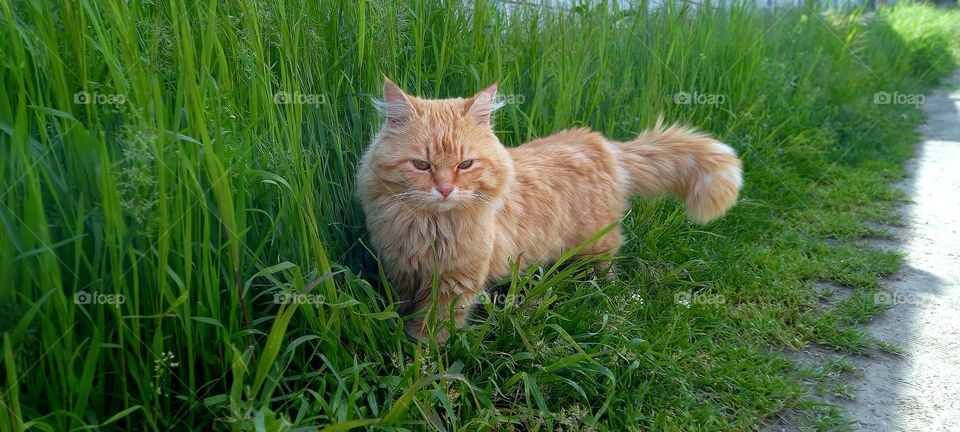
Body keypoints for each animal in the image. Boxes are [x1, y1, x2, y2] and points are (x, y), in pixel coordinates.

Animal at [356, 79, 740, 340]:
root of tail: (603, 145)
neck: (431, 227)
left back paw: (599, 285)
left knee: (610, 257)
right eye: (421, 165)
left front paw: (423, 354)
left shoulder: (457, 281)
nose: (446, 189)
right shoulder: (400, 269)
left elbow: (436, 324)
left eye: (465, 165)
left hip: (595, 244)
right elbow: (403, 306)